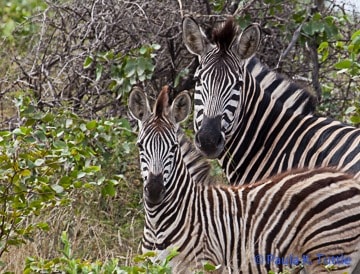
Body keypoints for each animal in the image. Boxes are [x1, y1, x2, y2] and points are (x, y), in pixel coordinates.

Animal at [129, 85, 360, 274]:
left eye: (174, 147)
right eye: (140, 145)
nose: (155, 191)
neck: (158, 222)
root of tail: (349, 180)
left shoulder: (205, 265)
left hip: (329, 256)